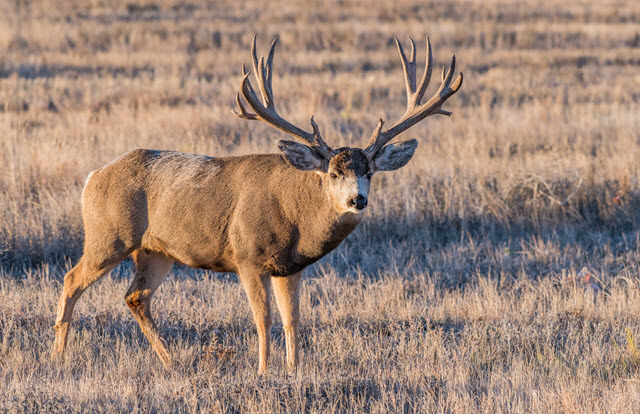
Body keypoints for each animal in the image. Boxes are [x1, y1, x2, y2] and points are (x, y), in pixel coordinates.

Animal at [50, 34, 460, 374]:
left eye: (371, 172)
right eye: (332, 173)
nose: (357, 199)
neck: (295, 218)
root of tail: (92, 178)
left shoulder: (289, 267)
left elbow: (293, 319)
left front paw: (294, 370)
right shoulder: (246, 257)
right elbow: (263, 319)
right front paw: (263, 372)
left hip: (156, 251)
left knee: (135, 297)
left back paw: (172, 363)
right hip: (109, 234)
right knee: (72, 280)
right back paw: (58, 357)